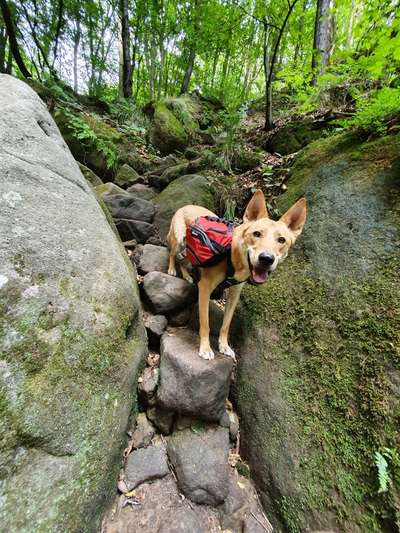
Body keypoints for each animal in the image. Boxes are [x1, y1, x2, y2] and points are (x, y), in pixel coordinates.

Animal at [166, 189, 306, 360]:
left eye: (282, 240)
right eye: (257, 233)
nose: (266, 258)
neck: (235, 257)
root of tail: (186, 205)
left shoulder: (235, 293)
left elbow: (226, 324)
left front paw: (224, 346)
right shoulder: (205, 287)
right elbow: (205, 323)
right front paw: (205, 348)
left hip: (188, 249)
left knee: (184, 260)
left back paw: (186, 275)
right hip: (179, 239)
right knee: (173, 254)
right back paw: (172, 269)